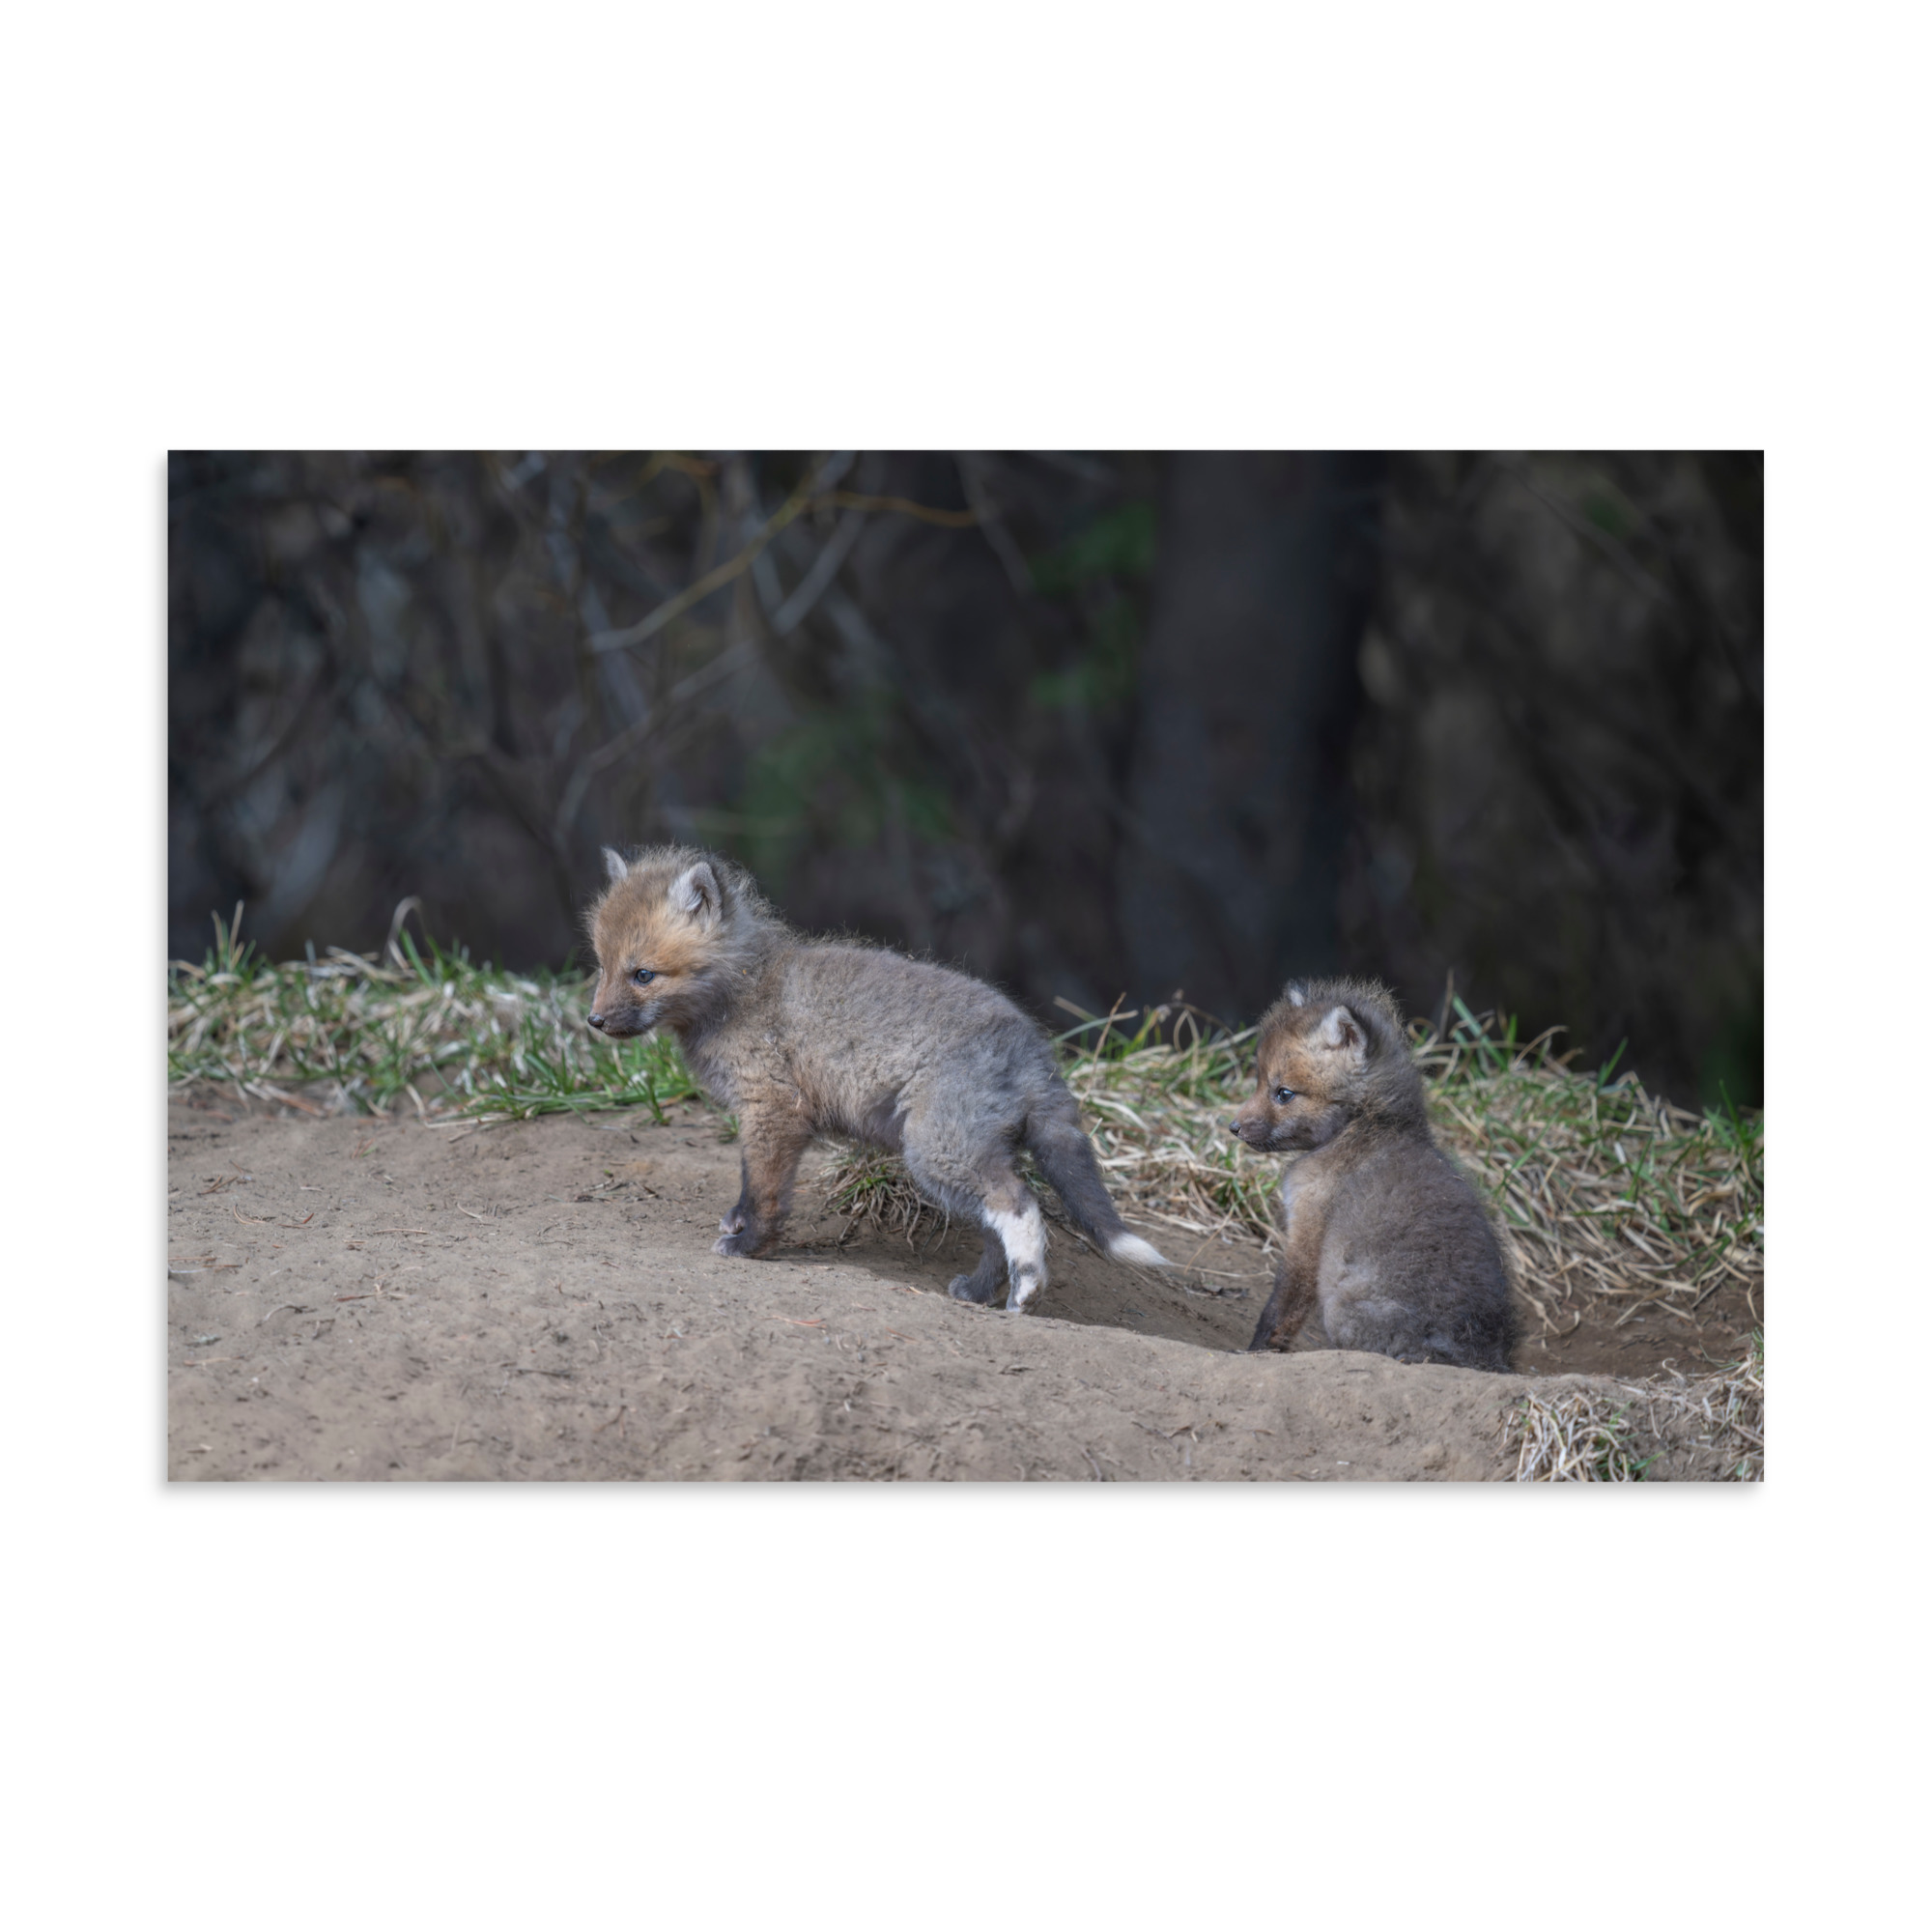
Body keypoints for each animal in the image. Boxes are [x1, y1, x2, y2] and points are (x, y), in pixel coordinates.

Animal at [585, 845, 1170, 1311]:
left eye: (643, 974)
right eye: (602, 966)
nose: (593, 1021)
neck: (743, 990)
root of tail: (1033, 1047)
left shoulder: (773, 1110)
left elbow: (765, 1190)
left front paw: (750, 1245)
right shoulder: (768, 1117)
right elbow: (751, 1183)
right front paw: (739, 1224)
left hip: (937, 1152)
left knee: (1019, 1204)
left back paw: (1027, 1290)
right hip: (961, 1158)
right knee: (994, 1228)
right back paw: (980, 1293)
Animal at [1229, 977, 1518, 1372]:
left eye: (1284, 1093)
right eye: (1259, 1081)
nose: (1233, 1127)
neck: (1364, 1126)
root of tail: (1479, 1356)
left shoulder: (1307, 1232)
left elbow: (1280, 1309)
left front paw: (1255, 1352)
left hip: (1340, 1309)